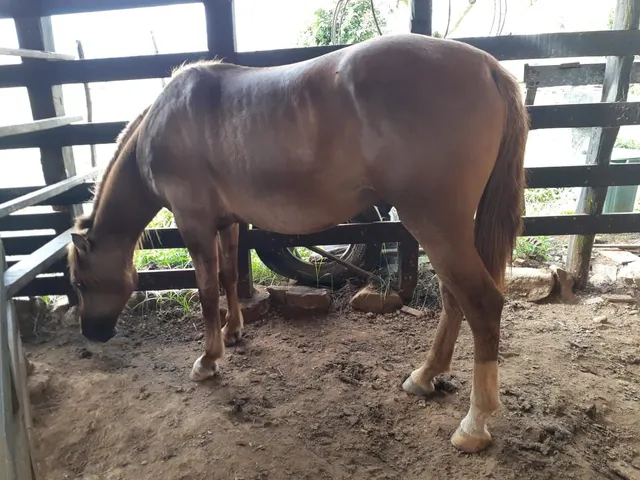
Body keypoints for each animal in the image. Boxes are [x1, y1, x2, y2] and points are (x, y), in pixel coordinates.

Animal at [67, 32, 528, 453]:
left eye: (79, 282)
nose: (92, 333)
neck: (165, 124)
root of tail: (487, 66)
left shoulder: (193, 222)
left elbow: (206, 290)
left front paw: (208, 360)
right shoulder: (227, 223)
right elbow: (229, 275)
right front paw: (234, 332)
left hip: (434, 222)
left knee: (481, 302)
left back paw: (474, 424)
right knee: (455, 298)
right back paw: (424, 376)